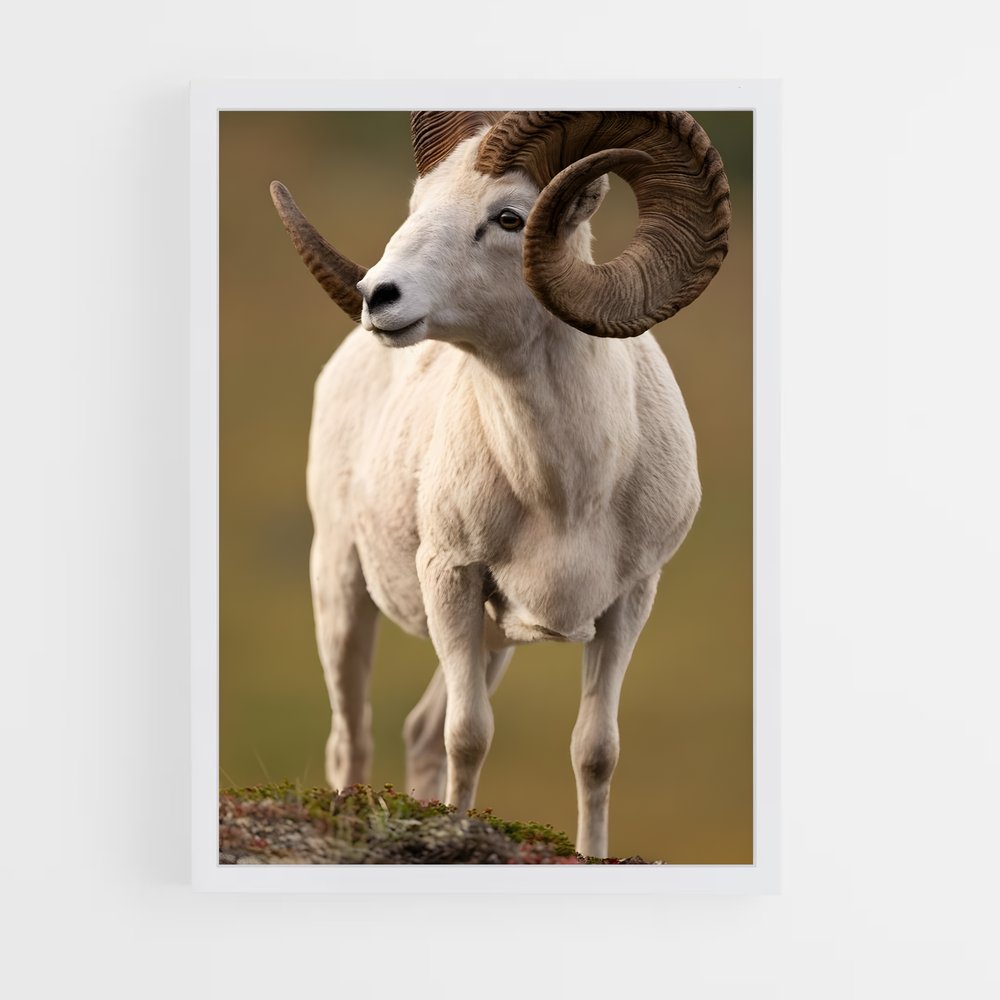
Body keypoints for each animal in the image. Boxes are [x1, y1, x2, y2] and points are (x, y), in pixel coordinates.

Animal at [270, 111, 730, 859]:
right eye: (417, 205)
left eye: (509, 217)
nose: (378, 297)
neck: (566, 491)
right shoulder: (451, 578)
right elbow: (469, 736)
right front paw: (457, 834)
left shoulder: (628, 602)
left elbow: (595, 750)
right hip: (341, 586)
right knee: (354, 737)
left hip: (492, 643)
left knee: (419, 732)